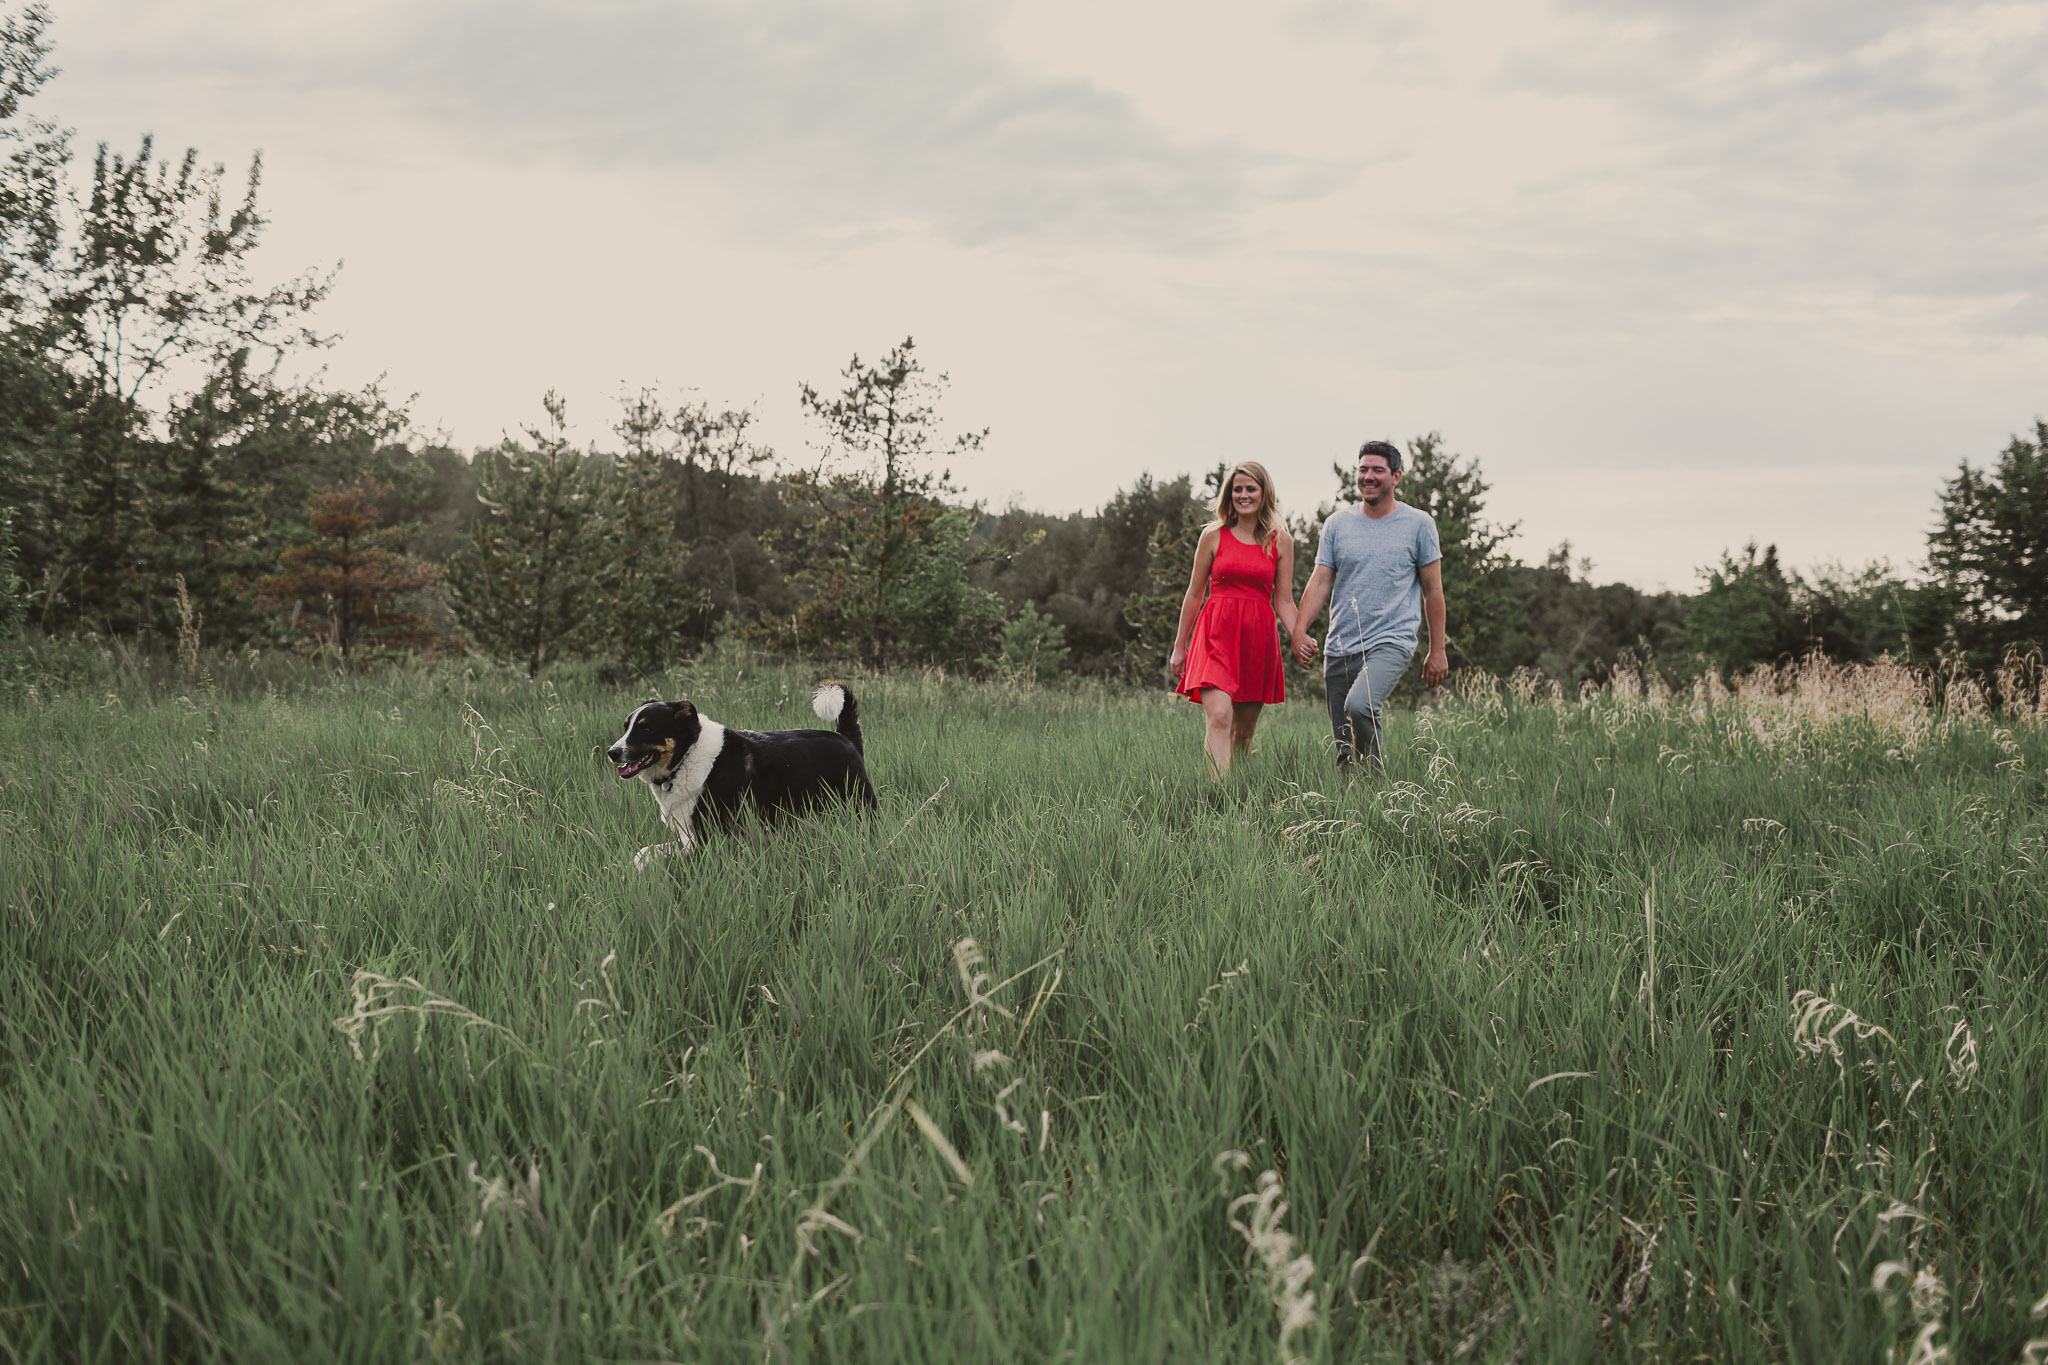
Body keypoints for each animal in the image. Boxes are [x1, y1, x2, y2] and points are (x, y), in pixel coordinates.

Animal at [598, 679, 872, 871]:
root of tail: (846, 737)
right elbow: (642, 853)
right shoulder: (688, 836)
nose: (612, 752)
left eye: (646, 729)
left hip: (858, 806)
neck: (687, 755)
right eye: (627, 727)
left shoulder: (704, 839)